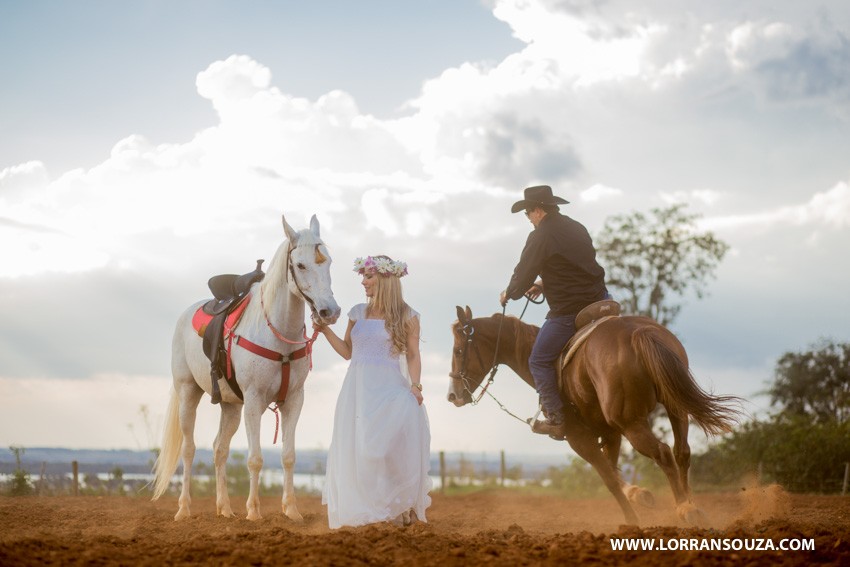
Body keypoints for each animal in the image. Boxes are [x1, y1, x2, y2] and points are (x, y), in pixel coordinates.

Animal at [151, 215, 340, 520]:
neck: (277, 336)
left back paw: (225, 508)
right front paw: (253, 511)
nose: (330, 312)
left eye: (328, 262)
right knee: (189, 450)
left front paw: (292, 510)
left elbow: (289, 456)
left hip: (231, 406)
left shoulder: (294, 400)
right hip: (188, 392)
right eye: (300, 265)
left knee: (220, 449)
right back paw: (184, 509)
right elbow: (255, 459)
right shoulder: (254, 400)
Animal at [448, 308, 740, 524]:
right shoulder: (610, 433)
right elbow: (612, 469)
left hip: (632, 423)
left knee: (664, 453)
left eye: (458, 351)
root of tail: (638, 332)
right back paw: (693, 505)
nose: (453, 395)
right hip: (675, 407)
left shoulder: (578, 438)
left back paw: (685, 510)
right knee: (682, 452)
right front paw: (638, 494)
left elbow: (608, 478)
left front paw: (632, 520)